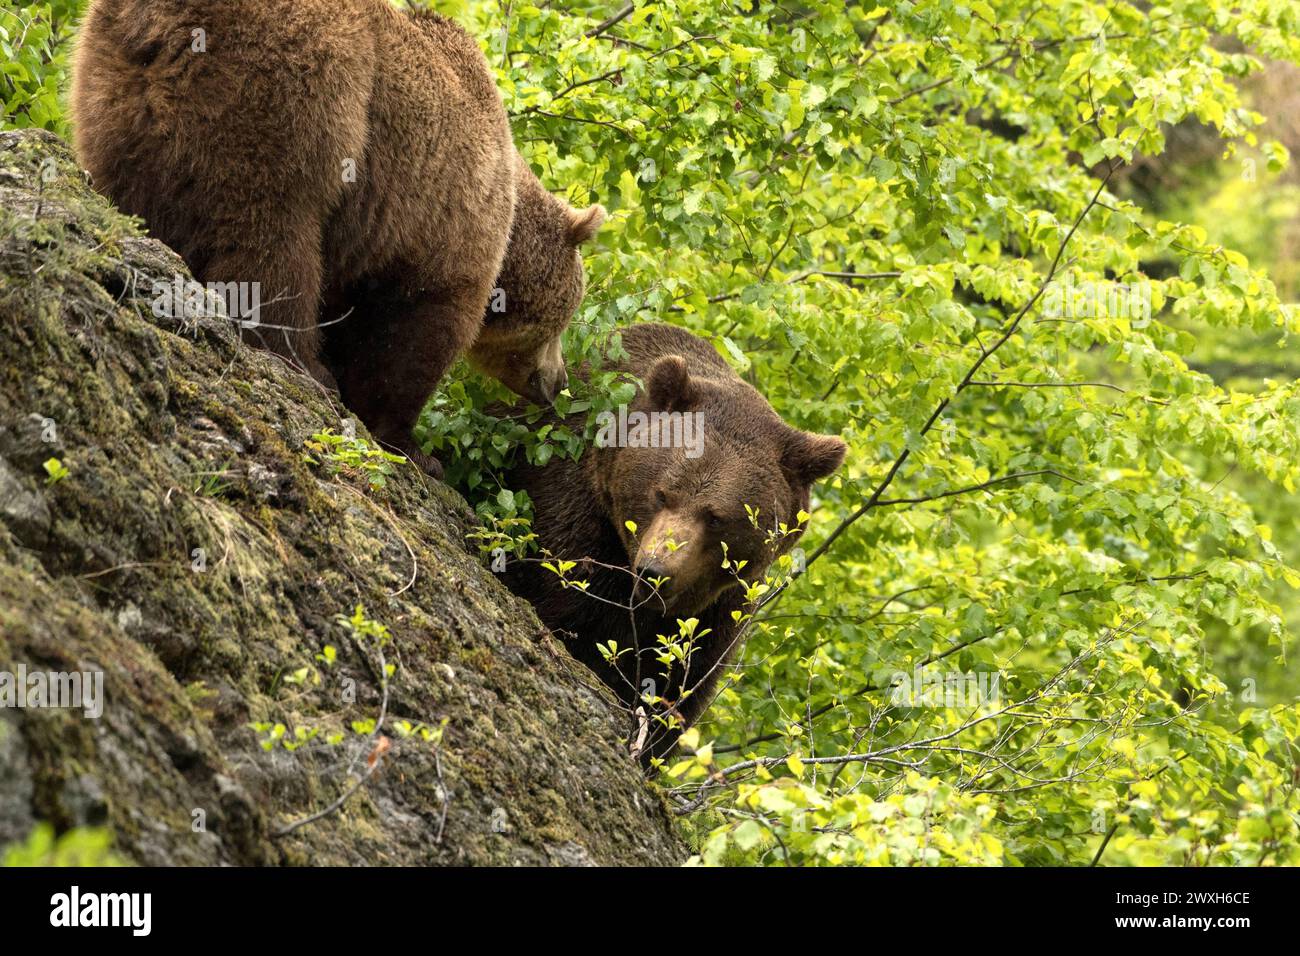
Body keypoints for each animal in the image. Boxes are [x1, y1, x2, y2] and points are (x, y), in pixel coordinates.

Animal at [71, 0, 604, 475]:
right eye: (563, 319)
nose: (557, 382)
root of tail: (158, 21)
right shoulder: (446, 218)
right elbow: (414, 331)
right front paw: (415, 448)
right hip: (297, 88)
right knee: (272, 235)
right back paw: (304, 366)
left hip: (111, 94)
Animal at [499, 323, 847, 764]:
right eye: (662, 493)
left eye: (716, 517)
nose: (655, 572)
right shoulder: (570, 507)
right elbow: (563, 606)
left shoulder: (724, 605)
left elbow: (679, 684)